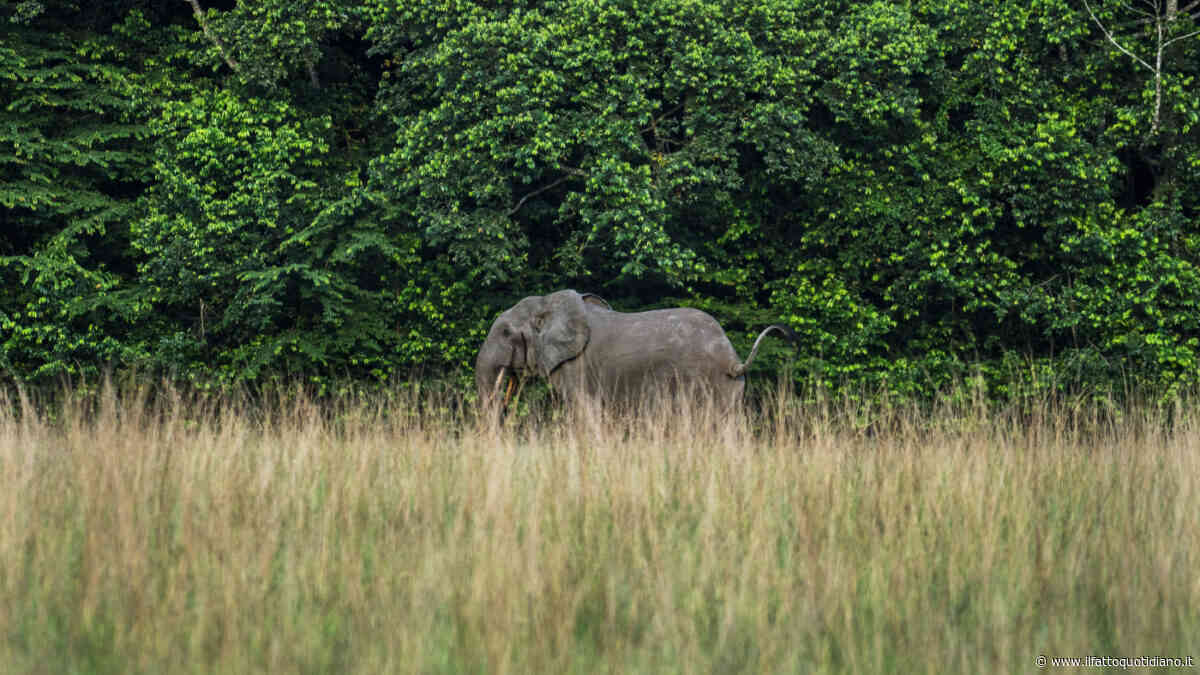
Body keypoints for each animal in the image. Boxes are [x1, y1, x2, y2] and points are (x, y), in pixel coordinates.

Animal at [474, 289, 797, 416]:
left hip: (704, 383)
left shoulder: (577, 367)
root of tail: (733, 359)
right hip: (730, 390)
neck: (549, 303)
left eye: (505, 333)